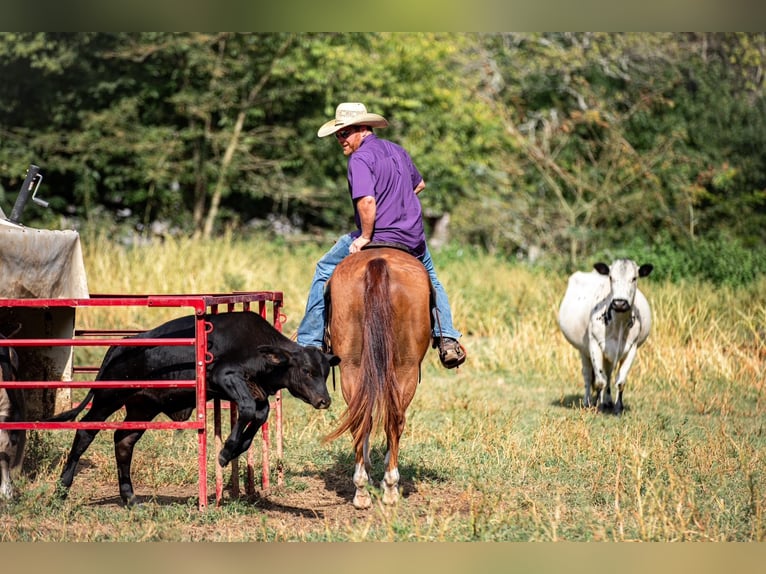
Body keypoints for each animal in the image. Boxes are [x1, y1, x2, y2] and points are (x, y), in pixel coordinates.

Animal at [324, 246, 432, 509]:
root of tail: (377, 262)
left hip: (351, 367)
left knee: (362, 418)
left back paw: (362, 489)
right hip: (406, 368)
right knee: (395, 420)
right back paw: (390, 487)